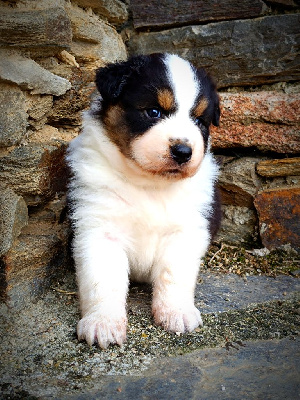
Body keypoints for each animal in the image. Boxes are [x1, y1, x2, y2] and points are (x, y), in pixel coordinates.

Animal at [66, 54, 220, 350]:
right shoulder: (100, 228)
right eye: (154, 112)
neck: (149, 184)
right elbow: (103, 280)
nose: (183, 151)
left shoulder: (185, 231)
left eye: (199, 121)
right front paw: (102, 323)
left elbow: (174, 275)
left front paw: (176, 313)